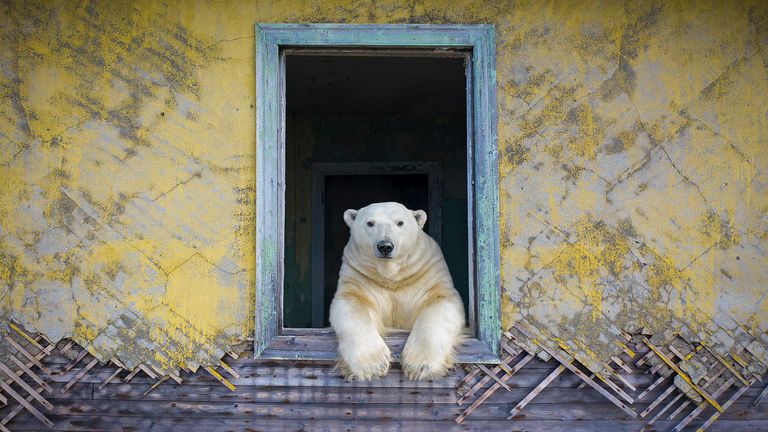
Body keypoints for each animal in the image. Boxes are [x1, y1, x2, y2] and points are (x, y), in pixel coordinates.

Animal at [328, 201, 464, 380]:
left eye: (400, 222)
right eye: (370, 223)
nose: (385, 246)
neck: (391, 277)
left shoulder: (427, 272)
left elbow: (440, 302)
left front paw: (419, 366)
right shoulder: (359, 276)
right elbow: (352, 305)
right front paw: (372, 365)